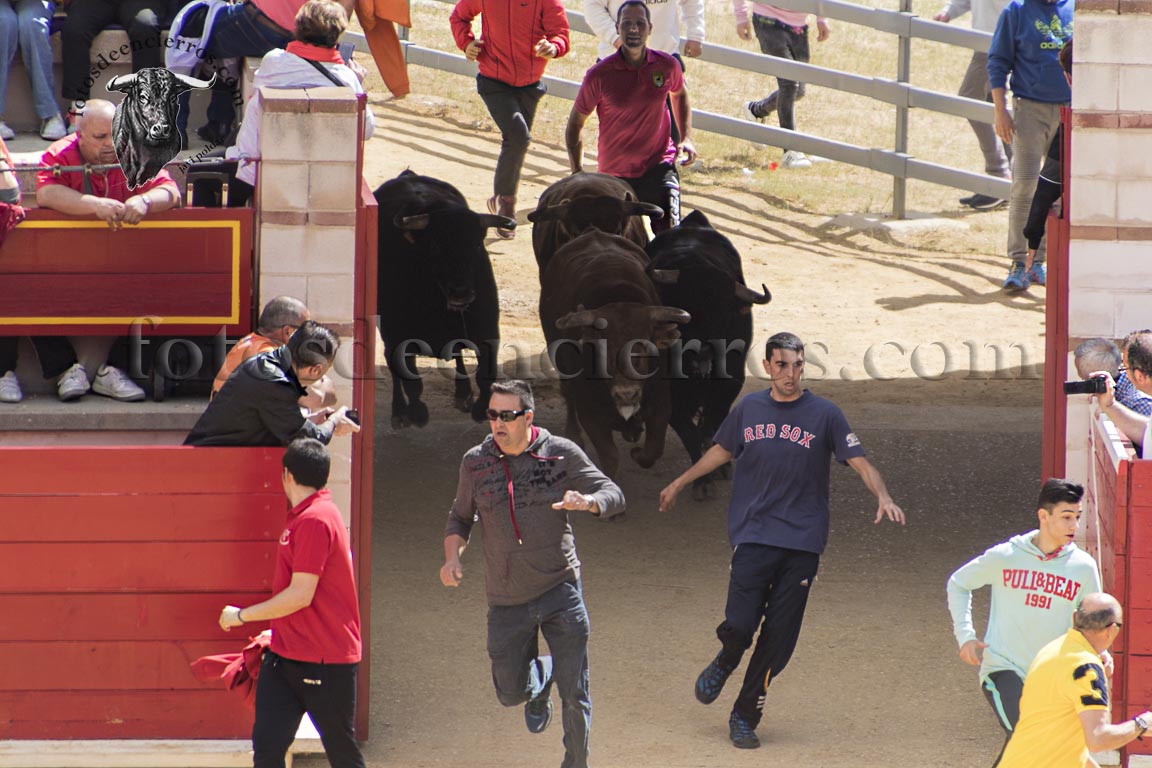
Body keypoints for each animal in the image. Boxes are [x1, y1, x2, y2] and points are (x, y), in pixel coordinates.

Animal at [375, 171, 514, 429]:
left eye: (477, 245)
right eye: (435, 247)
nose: (461, 293)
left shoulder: (488, 332)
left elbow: (485, 375)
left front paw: (479, 407)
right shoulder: (397, 338)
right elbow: (411, 382)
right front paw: (416, 413)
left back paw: (463, 393)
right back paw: (398, 412)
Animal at [540, 229, 690, 478]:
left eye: (643, 347)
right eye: (604, 349)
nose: (626, 394)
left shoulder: (661, 405)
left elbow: (654, 450)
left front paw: (637, 452)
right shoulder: (591, 414)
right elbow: (610, 459)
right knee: (567, 393)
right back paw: (573, 434)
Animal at [646, 210, 772, 499]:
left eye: (724, 311)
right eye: (685, 304)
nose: (701, 350)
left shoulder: (730, 383)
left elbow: (714, 423)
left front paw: (719, 465)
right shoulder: (671, 395)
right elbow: (689, 433)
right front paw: (702, 481)